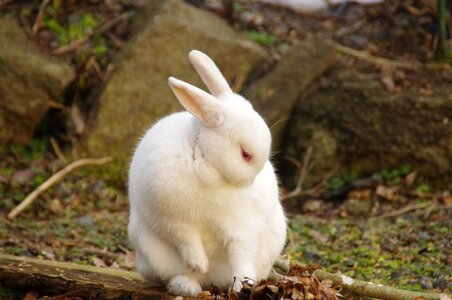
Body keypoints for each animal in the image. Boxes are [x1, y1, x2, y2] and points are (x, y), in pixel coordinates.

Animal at [127, 49, 288, 296]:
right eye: (245, 154)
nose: (250, 183)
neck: (207, 166)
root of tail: (212, 282)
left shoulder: (243, 227)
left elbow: (241, 255)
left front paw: (244, 286)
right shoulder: (169, 218)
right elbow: (186, 239)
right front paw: (200, 263)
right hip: (150, 252)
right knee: (174, 274)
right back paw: (187, 285)